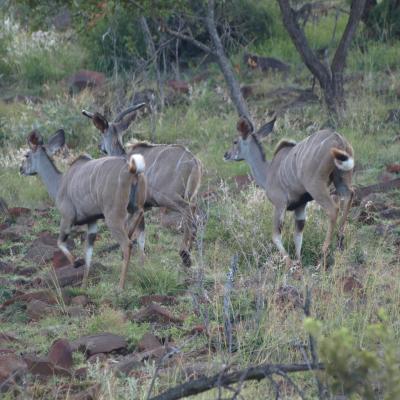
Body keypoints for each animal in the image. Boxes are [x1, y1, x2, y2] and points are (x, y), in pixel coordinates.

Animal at [19, 130, 146, 290]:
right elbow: (88, 254)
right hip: (136, 208)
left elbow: (60, 242)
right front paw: (84, 285)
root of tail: (133, 169)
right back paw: (142, 269)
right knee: (140, 233)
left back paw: (120, 287)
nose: (21, 169)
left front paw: (76, 262)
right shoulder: (92, 222)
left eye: (27, 155)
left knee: (127, 244)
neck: (59, 183)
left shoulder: (67, 217)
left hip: (113, 217)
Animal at [81, 103, 202, 268]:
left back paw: (184, 255)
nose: (100, 147)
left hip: (168, 197)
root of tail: (194, 161)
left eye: (102, 133)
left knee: (188, 211)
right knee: (194, 215)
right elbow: (141, 236)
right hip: (190, 195)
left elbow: (133, 233)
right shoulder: (143, 207)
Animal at [223, 116, 354, 272]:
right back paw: (340, 243)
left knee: (333, 209)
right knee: (349, 195)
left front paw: (289, 263)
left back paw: (322, 256)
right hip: (342, 178)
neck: (268, 172)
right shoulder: (301, 206)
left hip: (316, 186)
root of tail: (338, 139)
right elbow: (298, 235)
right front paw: (298, 262)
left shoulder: (280, 204)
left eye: (235, 141)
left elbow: (275, 235)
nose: (226, 154)